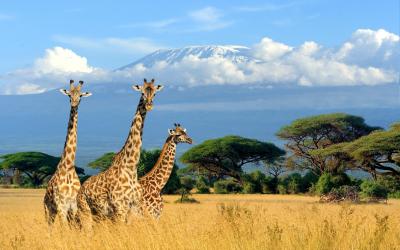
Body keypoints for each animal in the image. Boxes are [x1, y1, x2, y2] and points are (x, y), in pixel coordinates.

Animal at [43, 79, 92, 225]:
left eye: (80, 96)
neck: (69, 167)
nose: (74, 103)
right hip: (48, 210)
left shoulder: (74, 206)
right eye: (69, 95)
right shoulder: (62, 206)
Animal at [76, 78, 162, 227]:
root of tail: (80, 190)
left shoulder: (133, 208)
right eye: (142, 92)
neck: (131, 168)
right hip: (85, 210)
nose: (149, 105)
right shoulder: (119, 208)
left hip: (99, 214)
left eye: (155, 93)